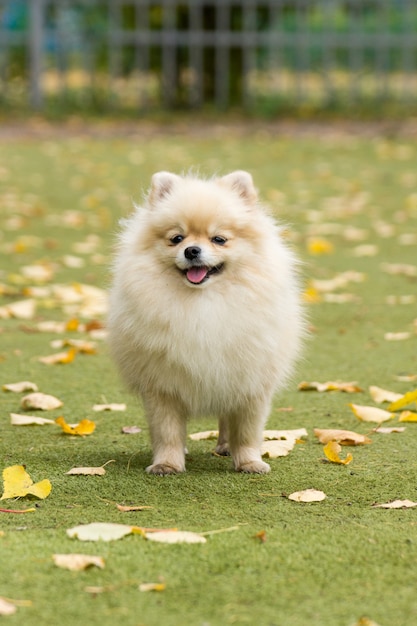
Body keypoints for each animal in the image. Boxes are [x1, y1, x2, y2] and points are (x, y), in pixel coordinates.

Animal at [107, 171, 302, 472]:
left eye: (219, 239)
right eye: (176, 238)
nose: (192, 250)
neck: (203, 304)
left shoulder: (250, 380)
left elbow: (247, 430)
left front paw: (249, 462)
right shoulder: (162, 384)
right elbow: (167, 430)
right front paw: (167, 464)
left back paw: (225, 446)